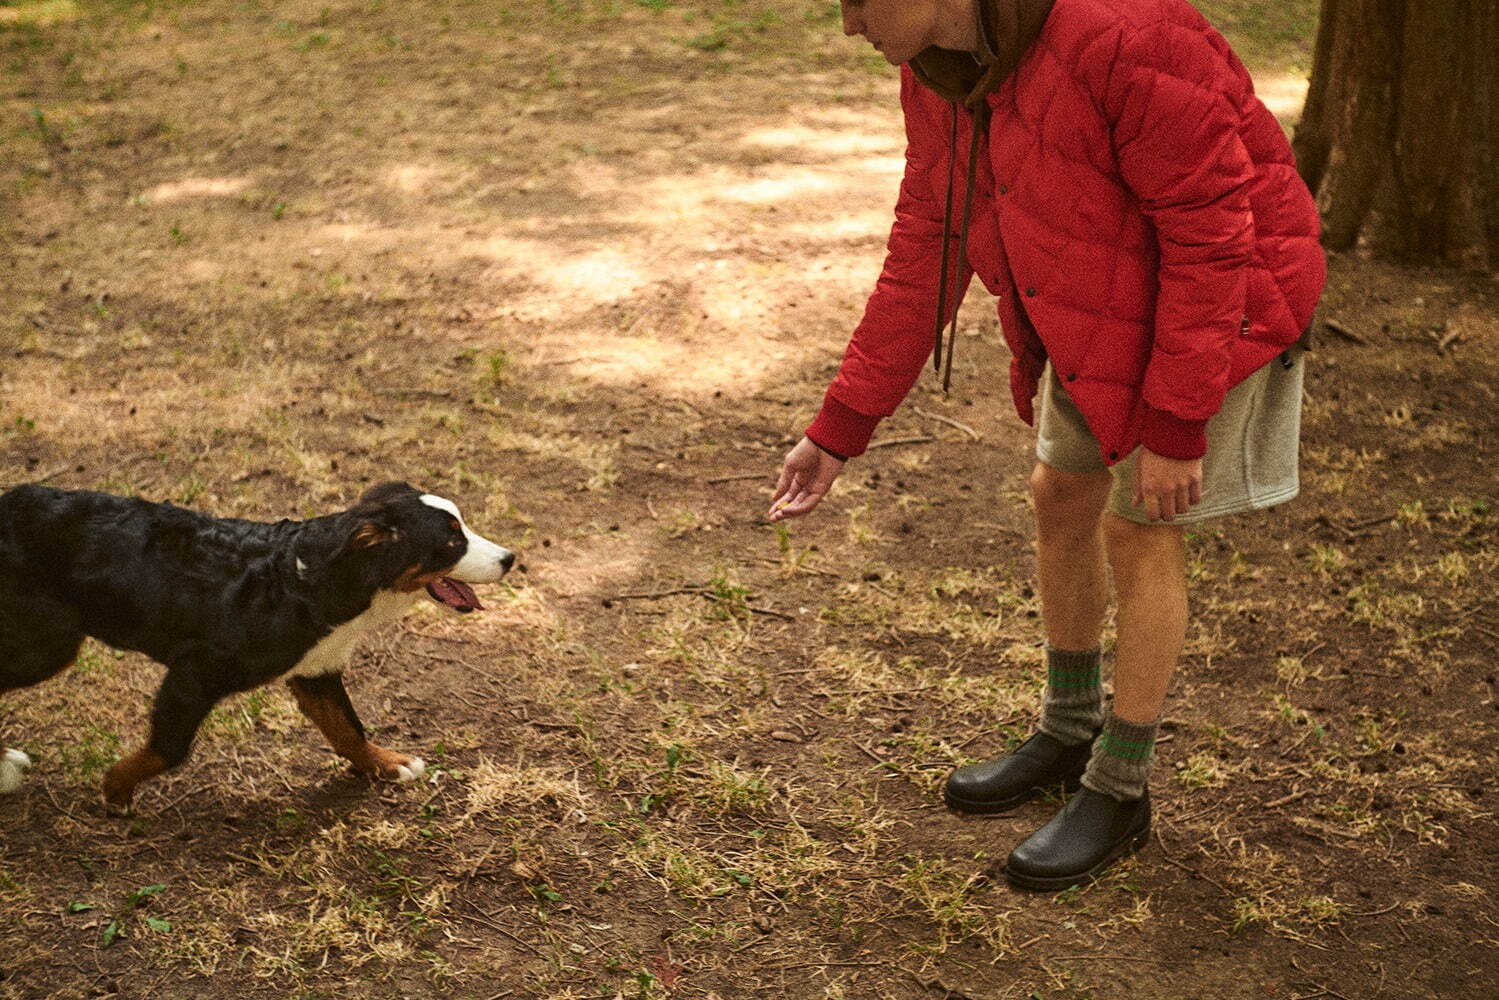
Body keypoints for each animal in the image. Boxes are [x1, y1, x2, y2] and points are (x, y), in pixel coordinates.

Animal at [0, 479, 512, 809]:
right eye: (451, 542)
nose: (510, 558)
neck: (309, 579)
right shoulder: (194, 673)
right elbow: (169, 748)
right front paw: (116, 789)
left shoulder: (316, 668)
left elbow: (348, 729)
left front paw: (387, 765)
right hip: (47, 645)